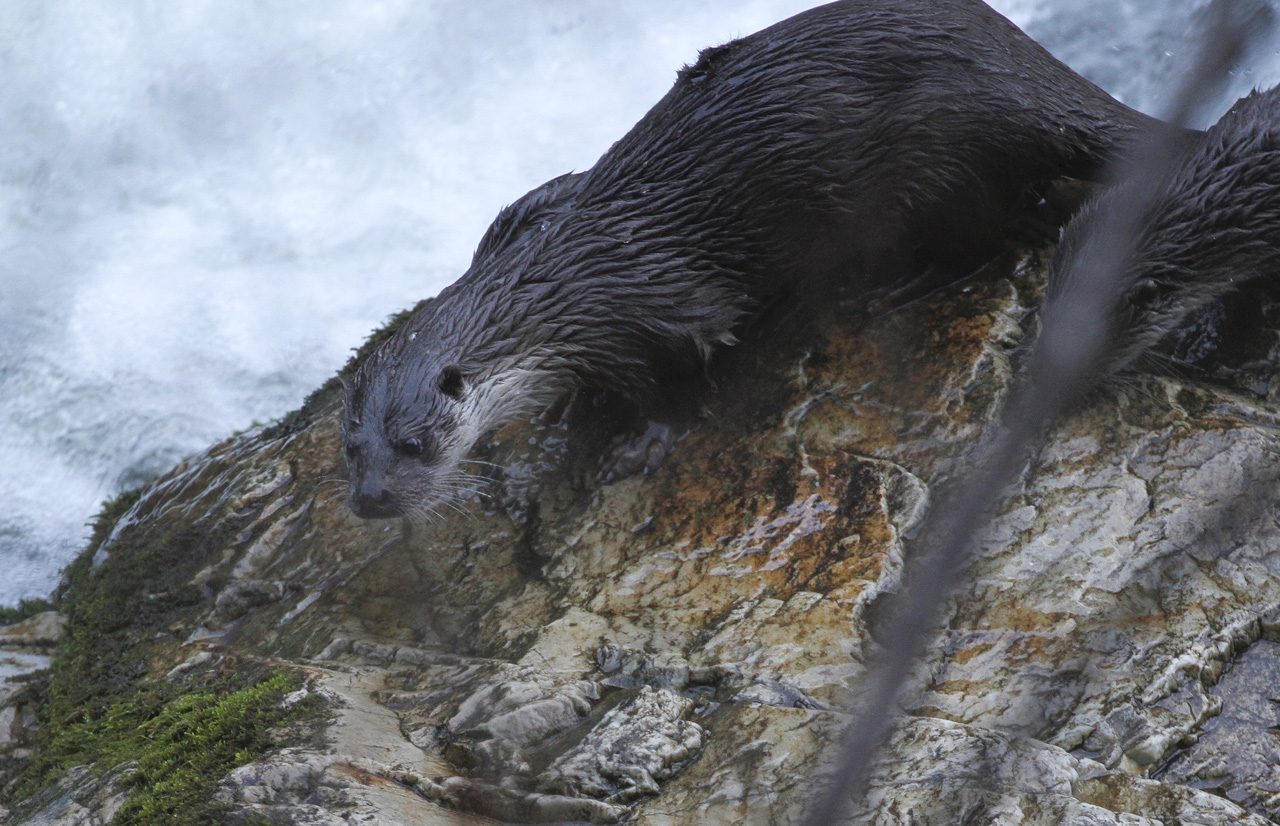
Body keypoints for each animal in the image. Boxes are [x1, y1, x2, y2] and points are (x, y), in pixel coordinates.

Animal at [340, 0, 1172, 519]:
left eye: (414, 445)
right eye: (352, 452)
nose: (371, 500)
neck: (556, 289)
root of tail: (1031, 79)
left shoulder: (658, 312)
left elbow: (675, 384)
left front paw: (635, 443)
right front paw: (569, 404)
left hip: (944, 160)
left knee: (988, 235)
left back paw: (900, 286)